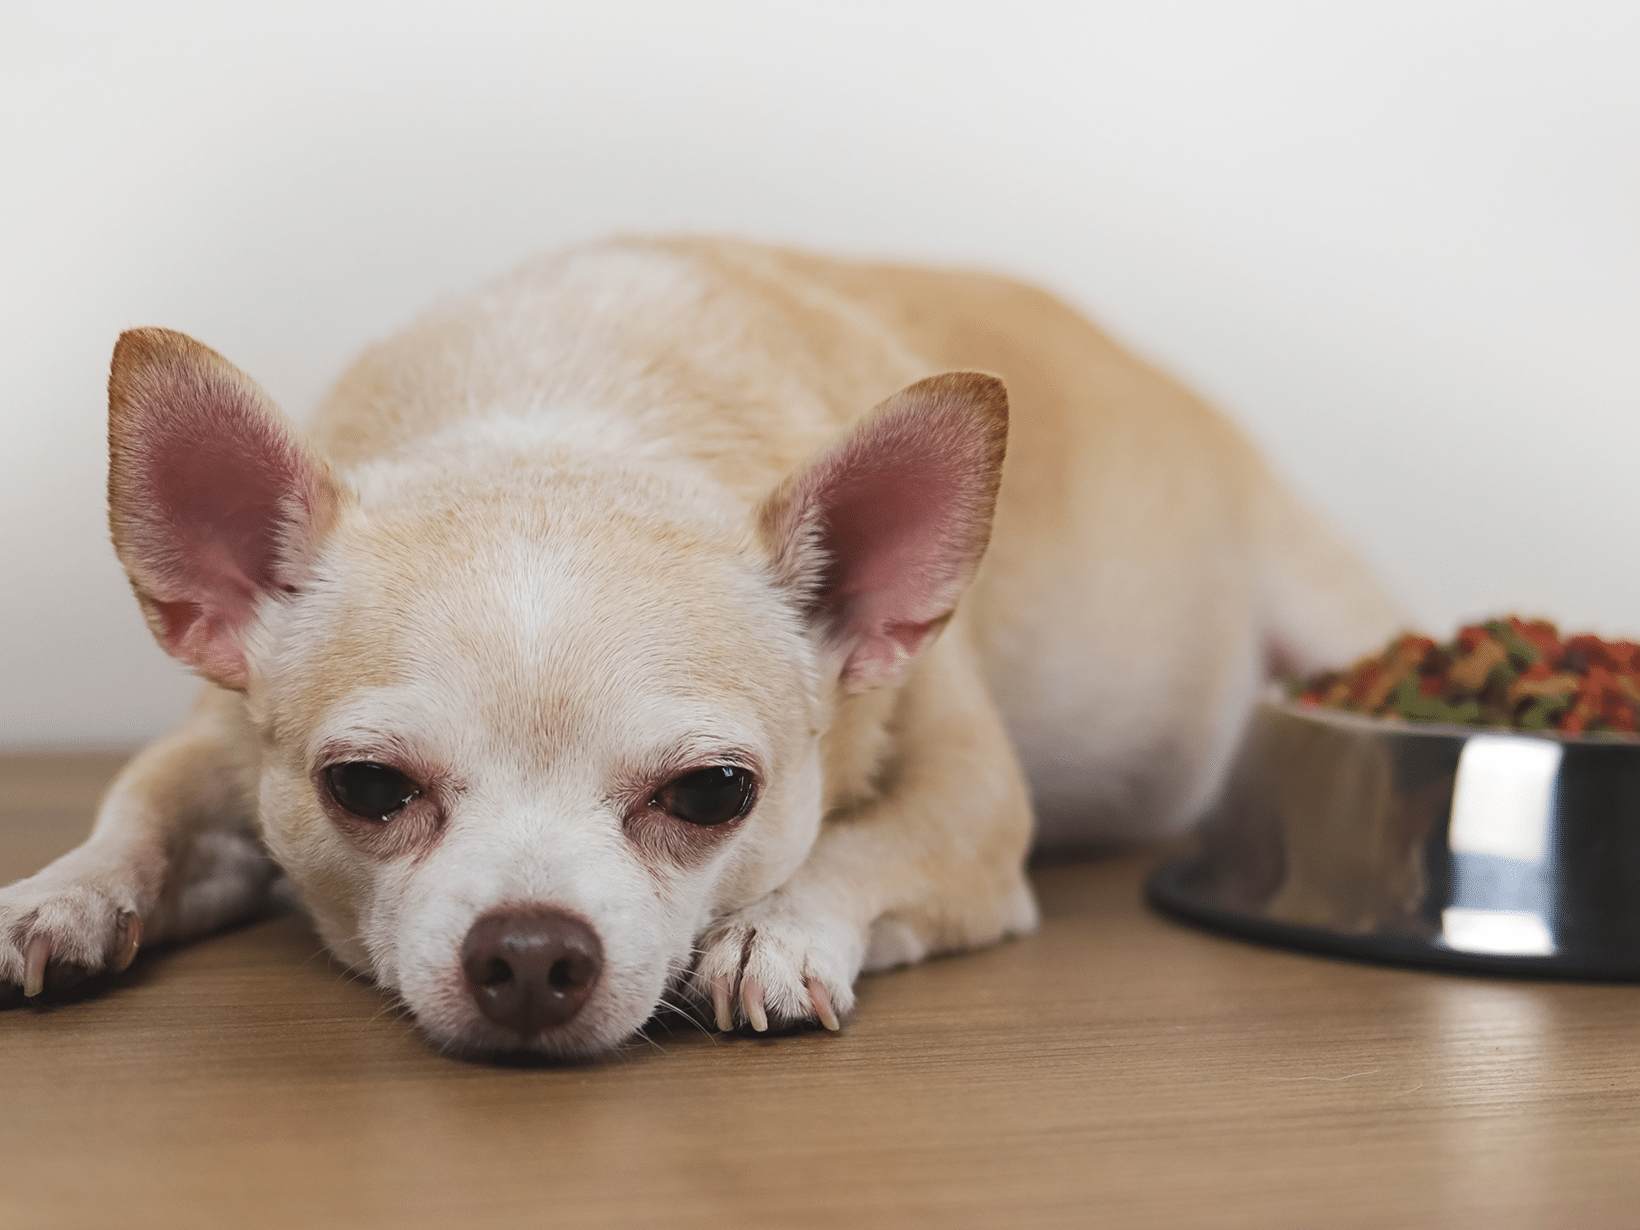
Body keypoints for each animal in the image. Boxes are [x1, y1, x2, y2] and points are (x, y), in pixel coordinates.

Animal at [0, 241, 1397, 1062]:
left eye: (714, 795)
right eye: (365, 789)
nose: (528, 950)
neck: (571, 410)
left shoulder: (972, 812)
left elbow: (866, 843)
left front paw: (776, 933)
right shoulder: (218, 740)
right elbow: (140, 811)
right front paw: (61, 896)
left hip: (1331, 606)